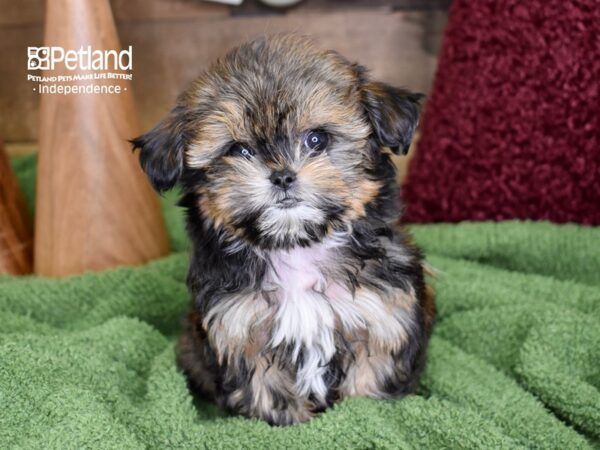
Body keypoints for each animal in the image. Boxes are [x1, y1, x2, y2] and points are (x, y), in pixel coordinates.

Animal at [131, 35, 434, 426]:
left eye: (317, 140)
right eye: (240, 150)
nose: (282, 176)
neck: (297, 246)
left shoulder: (380, 321)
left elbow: (366, 390)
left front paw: (359, 418)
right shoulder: (243, 333)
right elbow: (270, 394)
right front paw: (289, 423)